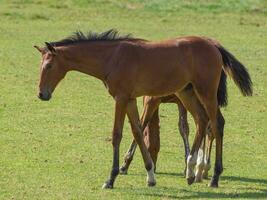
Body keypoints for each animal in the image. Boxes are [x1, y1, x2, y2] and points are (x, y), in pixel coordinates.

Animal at [34, 28, 253, 188]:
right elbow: (138, 132)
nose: (42, 94)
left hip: (205, 92)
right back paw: (191, 171)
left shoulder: (121, 98)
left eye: (49, 66)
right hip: (187, 93)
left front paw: (111, 178)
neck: (112, 57)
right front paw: (150, 175)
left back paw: (213, 176)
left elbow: (117, 134)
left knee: (216, 124)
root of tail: (214, 45)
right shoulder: (131, 100)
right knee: (202, 120)